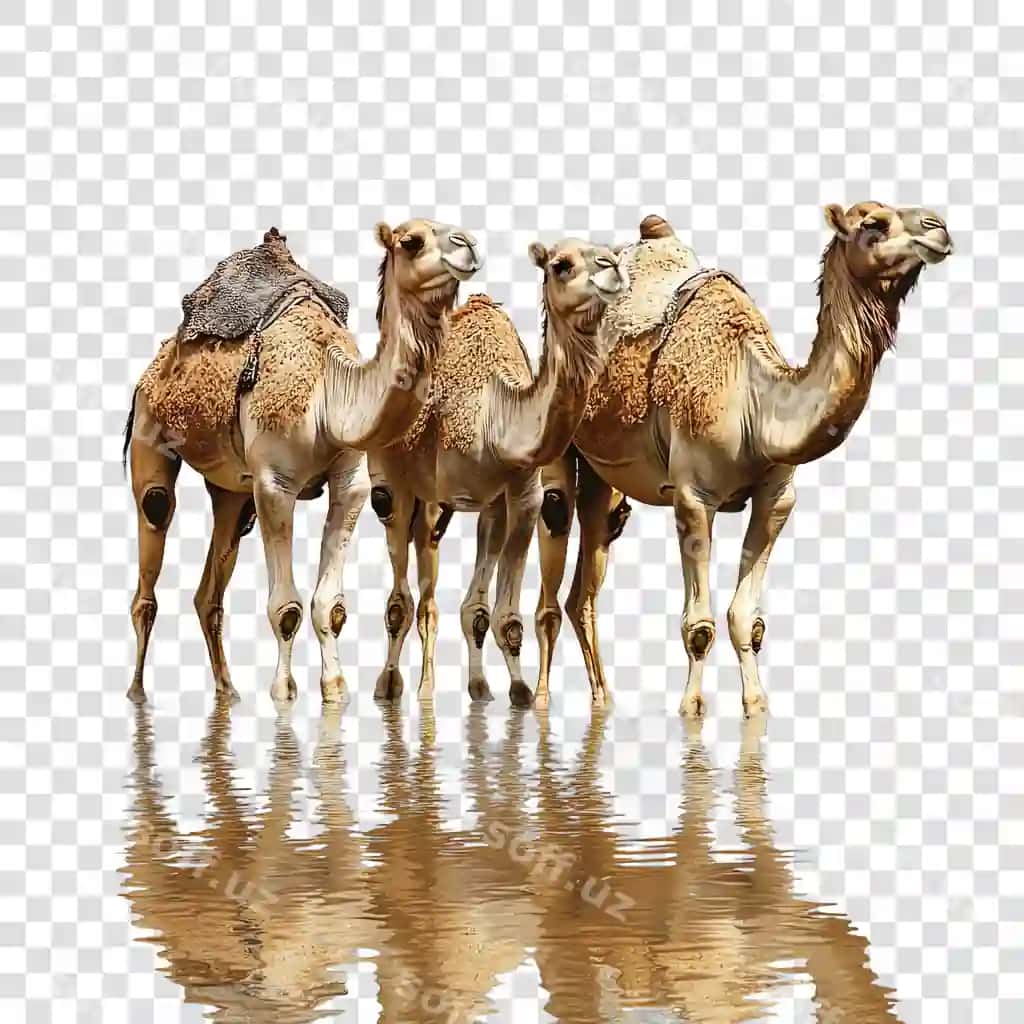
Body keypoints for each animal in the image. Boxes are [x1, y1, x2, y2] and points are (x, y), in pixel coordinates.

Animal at [123, 220, 482, 704]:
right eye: (412, 241)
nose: (468, 245)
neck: (328, 389)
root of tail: (156, 364)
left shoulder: (351, 482)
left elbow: (331, 607)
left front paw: (335, 689)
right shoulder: (275, 484)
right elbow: (287, 608)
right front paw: (283, 691)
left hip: (233, 489)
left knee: (211, 586)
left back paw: (227, 690)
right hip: (150, 429)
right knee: (155, 516)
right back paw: (138, 692)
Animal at [366, 237, 628, 707]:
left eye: (609, 252)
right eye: (561, 265)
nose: (612, 268)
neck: (494, 414)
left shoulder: (520, 496)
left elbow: (498, 615)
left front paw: (514, 691)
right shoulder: (420, 488)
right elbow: (406, 603)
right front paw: (400, 688)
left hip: (469, 507)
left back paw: (468, 685)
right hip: (400, 489)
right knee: (409, 590)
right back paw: (403, 684)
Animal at [535, 202, 953, 716]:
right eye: (872, 223)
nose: (938, 227)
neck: (756, 399)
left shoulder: (776, 498)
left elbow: (747, 619)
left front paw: (756, 706)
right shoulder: (694, 497)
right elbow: (699, 626)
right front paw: (690, 709)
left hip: (604, 475)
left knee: (587, 582)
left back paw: (602, 700)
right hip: (559, 439)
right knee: (554, 533)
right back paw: (540, 700)